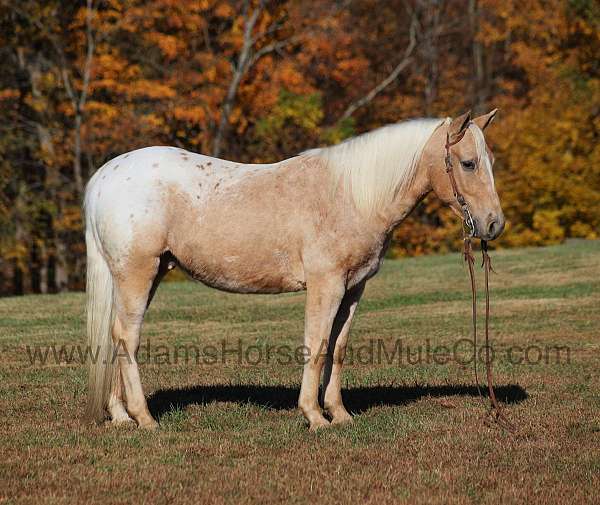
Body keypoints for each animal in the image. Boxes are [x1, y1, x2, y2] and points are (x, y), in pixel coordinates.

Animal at [84, 110, 504, 430]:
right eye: (468, 163)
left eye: (491, 162)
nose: (494, 224)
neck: (350, 196)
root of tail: (104, 177)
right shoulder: (326, 285)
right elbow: (316, 346)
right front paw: (315, 417)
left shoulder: (353, 289)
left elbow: (337, 348)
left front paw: (340, 414)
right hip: (137, 273)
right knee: (127, 337)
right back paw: (144, 419)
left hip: (144, 276)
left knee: (116, 335)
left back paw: (120, 416)